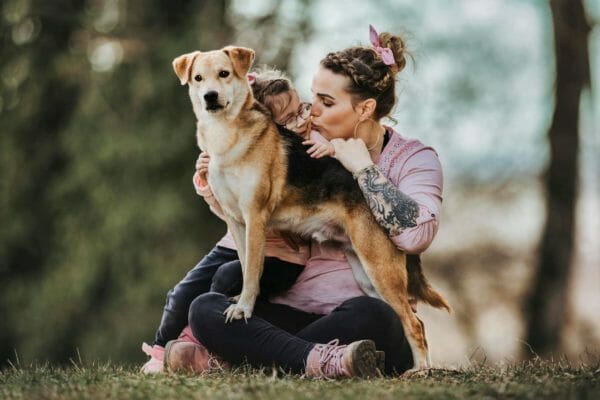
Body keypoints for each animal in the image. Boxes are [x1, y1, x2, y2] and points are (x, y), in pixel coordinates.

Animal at [171, 45, 448, 370]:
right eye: (198, 78)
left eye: (224, 74)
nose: (210, 97)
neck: (227, 135)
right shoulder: (236, 222)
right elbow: (244, 263)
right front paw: (241, 301)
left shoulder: (255, 217)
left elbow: (252, 271)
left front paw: (243, 308)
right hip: (367, 275)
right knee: (401, 316)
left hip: (380, 268)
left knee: (414, 324)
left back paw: (419, 369)